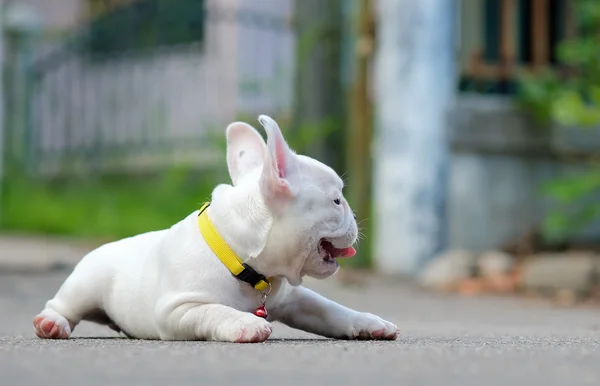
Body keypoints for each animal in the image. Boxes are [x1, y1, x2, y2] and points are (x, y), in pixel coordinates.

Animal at [31, 115, 398, 344]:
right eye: (336, 201)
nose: (354, 218)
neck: (241, 258)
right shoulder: (178, 310)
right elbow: (215, 310)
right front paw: (246, 323)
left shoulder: (296, 300)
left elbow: (328, 309)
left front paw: (369, 323)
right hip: (84, 284)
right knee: (62, 305)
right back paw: (52, 324)